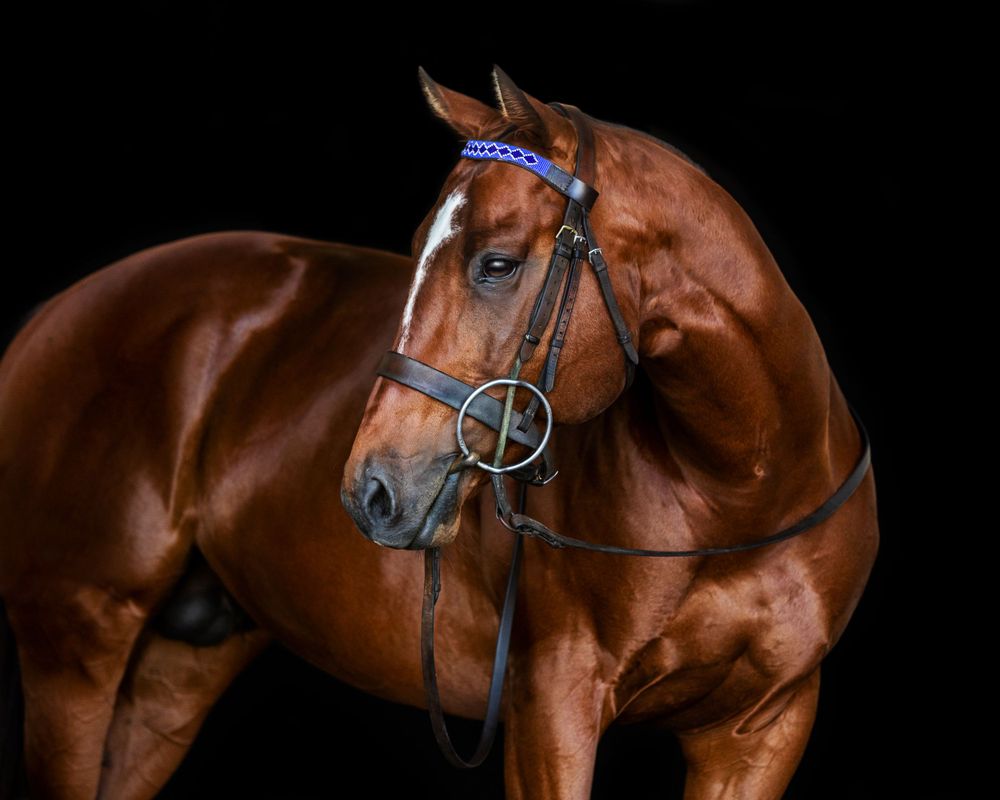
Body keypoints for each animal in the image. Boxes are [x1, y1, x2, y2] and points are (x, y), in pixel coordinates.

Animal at [0, 65, 878, 799]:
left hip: (176, 670)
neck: (737, 490)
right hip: (75, 650)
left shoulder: (761, 729)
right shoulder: (549, 711)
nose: (372, 491)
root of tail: (50, 316)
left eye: (497, 263)